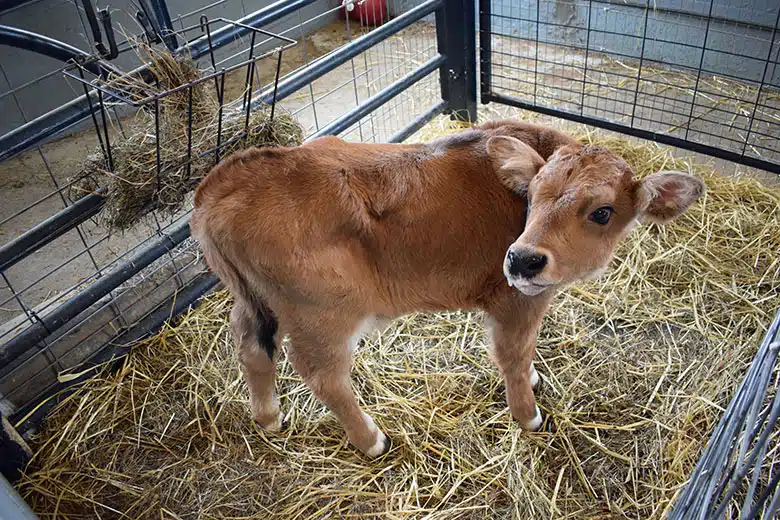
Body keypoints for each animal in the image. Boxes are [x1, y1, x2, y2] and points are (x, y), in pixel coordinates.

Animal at [190, 119, 704, 457]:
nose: (522, 259)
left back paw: (269, 418)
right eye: (534, 194)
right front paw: (528, 414)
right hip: (323, 316)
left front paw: (535, 379)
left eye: (602, 211)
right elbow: (513, 355)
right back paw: (372, 440)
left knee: (251, 347)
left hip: (256, 304)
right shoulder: (516, 300)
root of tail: (224, 182)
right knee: (322, 375)